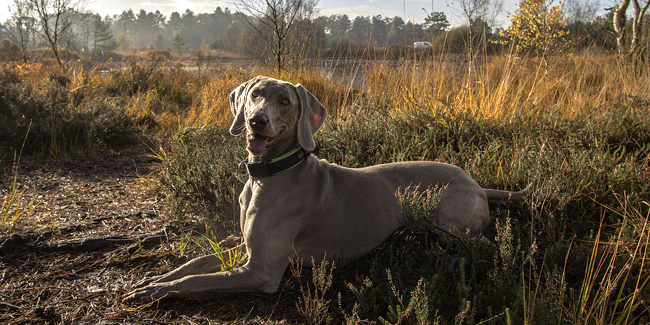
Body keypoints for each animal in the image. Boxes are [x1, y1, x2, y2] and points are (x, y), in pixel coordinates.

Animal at [124, 76, 524, 302]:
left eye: (285, 102)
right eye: (255, 94)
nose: (256, 121)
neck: (266, 175)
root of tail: (476, 182)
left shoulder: (261, 271)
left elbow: (198, 279)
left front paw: (157, 291)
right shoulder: (245, 247)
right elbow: (194, 264)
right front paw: (154, 279)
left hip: (450, 223)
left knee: (489, 246)